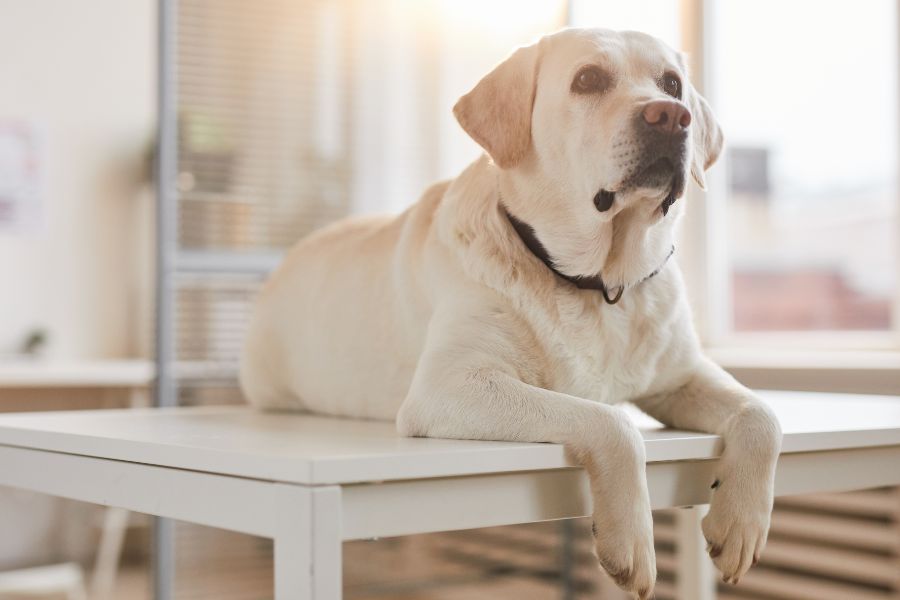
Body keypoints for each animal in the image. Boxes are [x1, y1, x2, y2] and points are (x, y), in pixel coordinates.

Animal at [243, 28, 784, 600]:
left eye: (673, 84)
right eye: (588, 79)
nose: (670, 116)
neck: (596, 283)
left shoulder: (682, 376)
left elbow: (762, 414)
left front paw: (742, 525)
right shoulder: (450, 387)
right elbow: (611, 420)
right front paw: (632, 540)